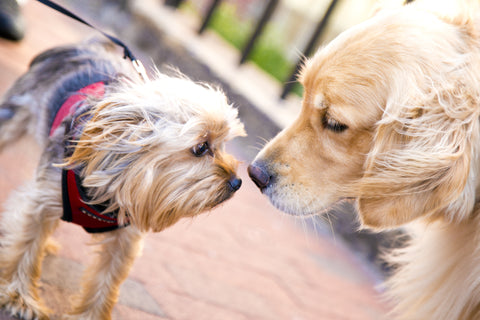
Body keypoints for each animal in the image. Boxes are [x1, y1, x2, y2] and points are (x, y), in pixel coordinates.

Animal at [0, 40, 244, 320]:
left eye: (222, 144)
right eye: (201, 147)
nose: (237, 183)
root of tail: (81, 46)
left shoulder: (128, 231)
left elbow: (107, 281)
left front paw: (91, 316)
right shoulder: (42, 199)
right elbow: (26, 244)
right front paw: (19, 297)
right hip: (13, 114)